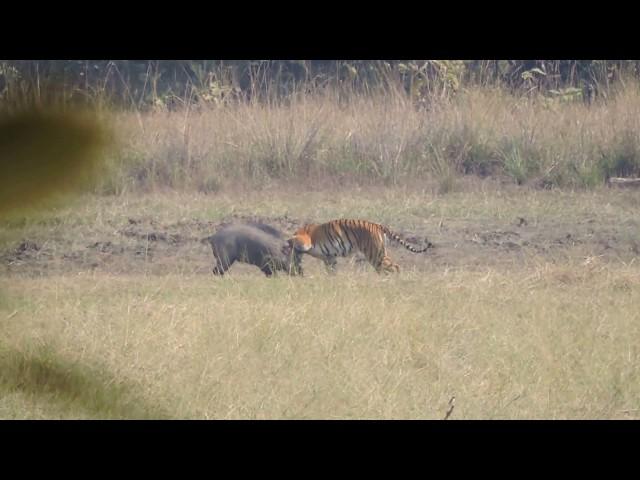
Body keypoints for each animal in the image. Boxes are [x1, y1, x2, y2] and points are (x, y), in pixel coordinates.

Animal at [286, 218, 432, 274]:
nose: (291, 252)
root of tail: (378, 225)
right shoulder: (330, 258)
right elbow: (332, 271)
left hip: (376, 255)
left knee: (395, 267)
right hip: (377, 255)